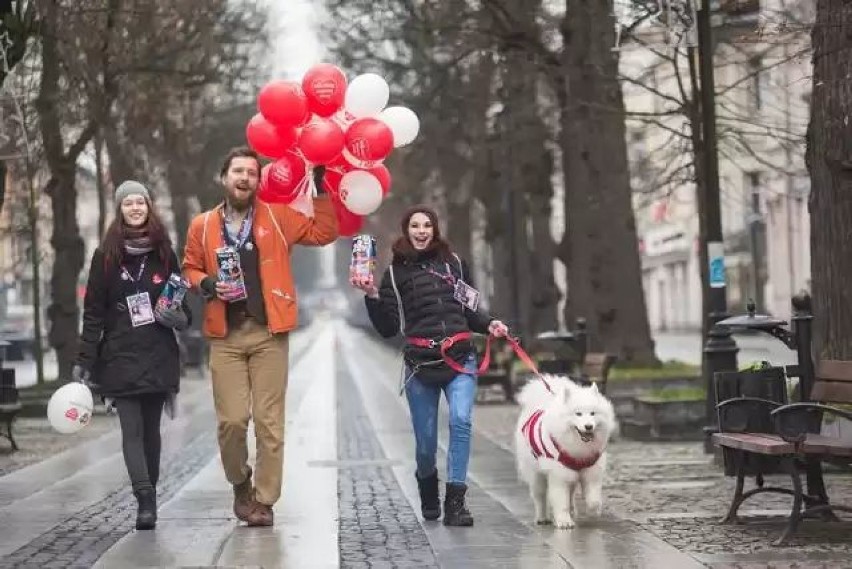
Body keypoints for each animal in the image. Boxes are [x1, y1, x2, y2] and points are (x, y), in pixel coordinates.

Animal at [516, 372, 616, 528]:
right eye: (578, 414)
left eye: (593, 413)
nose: (588, 426)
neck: (578, 449)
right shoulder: (559, 474)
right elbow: (560, 501)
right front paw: (564, 521)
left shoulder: (590, 470)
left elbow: (593, 499)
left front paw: (593, 511)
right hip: (536, 474)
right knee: (540, 496)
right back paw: (542, 517)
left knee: (571, 493)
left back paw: (573, 510)